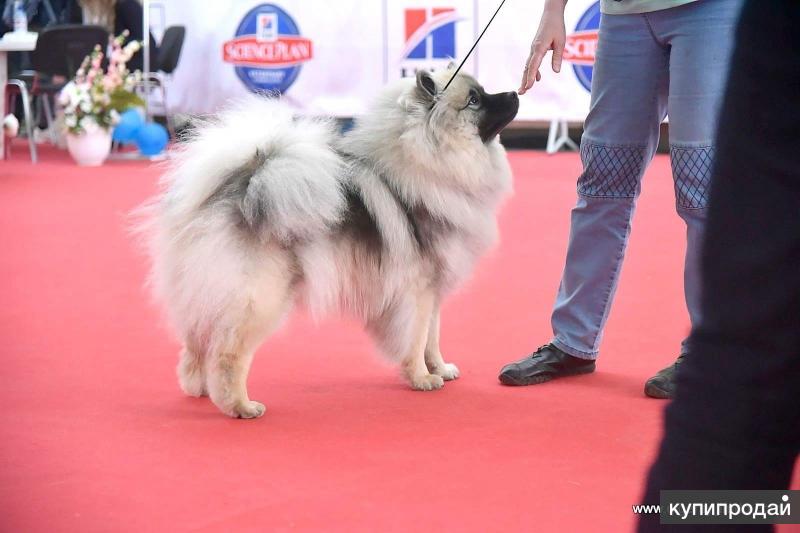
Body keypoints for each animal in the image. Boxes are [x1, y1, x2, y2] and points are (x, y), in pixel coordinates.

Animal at [139, 66, 520, 418]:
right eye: (474, 100)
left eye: (482, 90)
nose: (514, 93)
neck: (429, 162)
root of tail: (238, 186)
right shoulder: (418, 291)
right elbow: (415, 339)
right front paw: (422, 378)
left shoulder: (434, 292)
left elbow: (433, 337)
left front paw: (439, 368)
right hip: (258, 299)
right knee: (227, 354)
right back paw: (240, 406)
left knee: (196, 342)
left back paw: (200, 388)